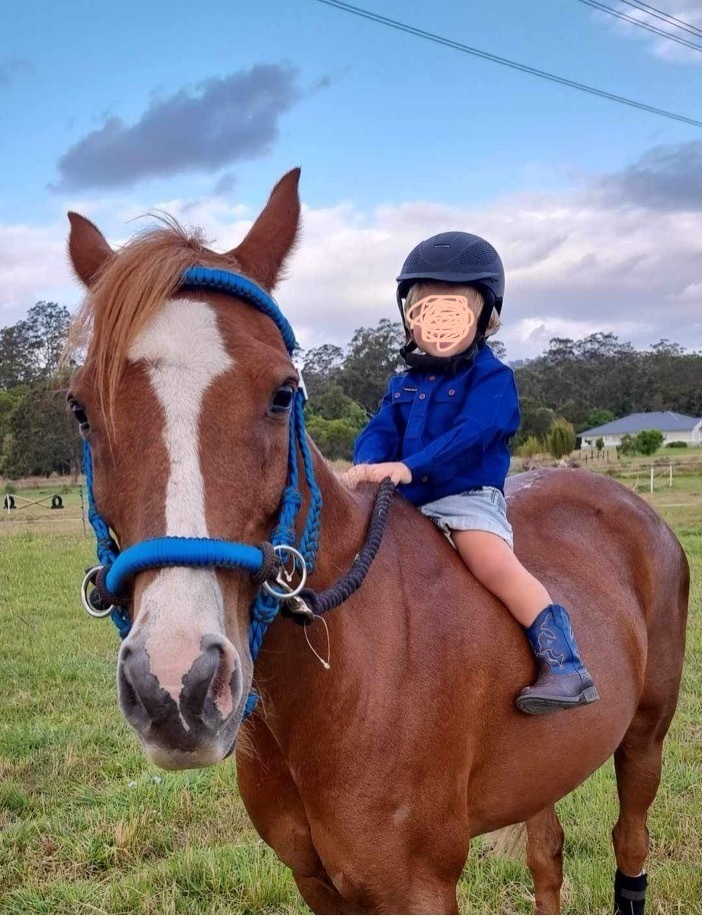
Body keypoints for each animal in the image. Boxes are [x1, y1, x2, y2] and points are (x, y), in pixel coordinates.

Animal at [66, 169, 689, 914]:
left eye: (283, 393)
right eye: (80, 408)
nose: (175, 688)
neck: (344, 672)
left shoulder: (416, 887)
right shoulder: (315, 882)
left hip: (645, 740)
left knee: (630, 842)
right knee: (548, 853)